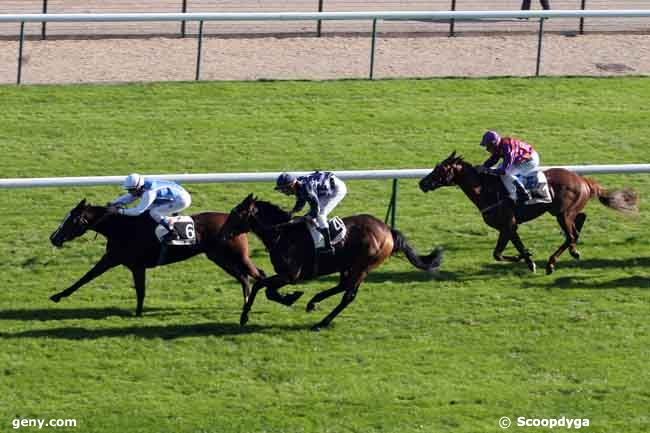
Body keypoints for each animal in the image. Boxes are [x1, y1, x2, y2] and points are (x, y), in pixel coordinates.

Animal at [47, 198, 266, 314]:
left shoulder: (130, 264)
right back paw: (246, 303)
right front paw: (58, 295)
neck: (122, 228)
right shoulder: (116, 259)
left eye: (72, 220)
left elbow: (91, 278)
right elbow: (89, 277)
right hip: (219, 257)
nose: (53, 238)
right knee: (244, 278)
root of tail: (238, 222)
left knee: (258, 275)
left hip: (237, 256)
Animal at [218, 194, 440, 330]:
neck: (282, 234)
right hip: (349, 266)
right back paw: (313, 302)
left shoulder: (290, 275)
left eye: (236, 214)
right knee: (343, 286)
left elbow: (262, 287)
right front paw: (291, 297)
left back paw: (321, 322)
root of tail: (388, 230)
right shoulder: (286, 275)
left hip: (364, 266)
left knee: (348, 295)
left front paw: (246, 316)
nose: (221, 235)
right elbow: (266, 288)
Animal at [418, 152, 636, 274]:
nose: (422, 183)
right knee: (579, 222)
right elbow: (516, 247)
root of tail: (583, 180)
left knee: (571, 234)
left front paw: (524, 258)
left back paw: (552, 263)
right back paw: (573, 251)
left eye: (440, 169)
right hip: (565, 212)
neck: (486, 189)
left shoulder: (508, 224)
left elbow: (497, 253)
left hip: (562, 213)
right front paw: (528, 261)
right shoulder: (509, 226)